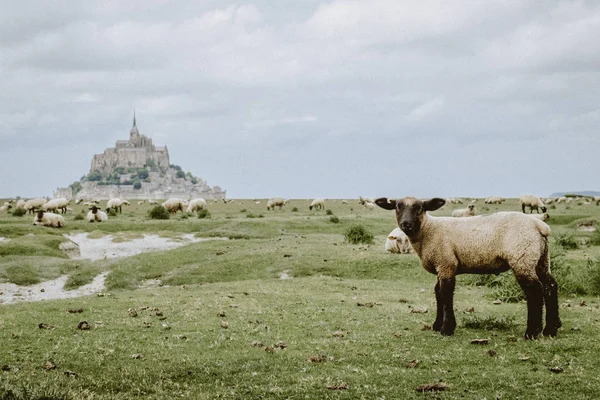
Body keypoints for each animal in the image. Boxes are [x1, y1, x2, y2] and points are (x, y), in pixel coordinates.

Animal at [378, 195, 560, 340]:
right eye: (397, 207)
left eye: (420, 208)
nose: (406, 224)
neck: (427, 230)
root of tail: (539, 225)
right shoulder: (441, 266)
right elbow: (438, 293)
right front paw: (437, 325)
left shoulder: (446, 263)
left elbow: (446, 294)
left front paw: (447, 329)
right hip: (540, 260)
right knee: (550, 286)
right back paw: (551, 329)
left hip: (522, 257)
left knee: (535, 291)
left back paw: (532, 332)